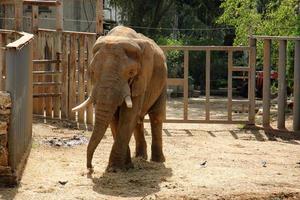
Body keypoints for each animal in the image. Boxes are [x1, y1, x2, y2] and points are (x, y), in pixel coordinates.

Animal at [72, 25, 166, 172]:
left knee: (156, 117)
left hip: (163, 82)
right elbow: (115, 117)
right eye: (92, 72)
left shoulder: (142, 78)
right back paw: (140, 157)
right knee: (138, 121)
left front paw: (115, 168)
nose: (90, 168)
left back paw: (157, 161)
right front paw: (123, 166)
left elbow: (128, 115)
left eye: (131, 73)